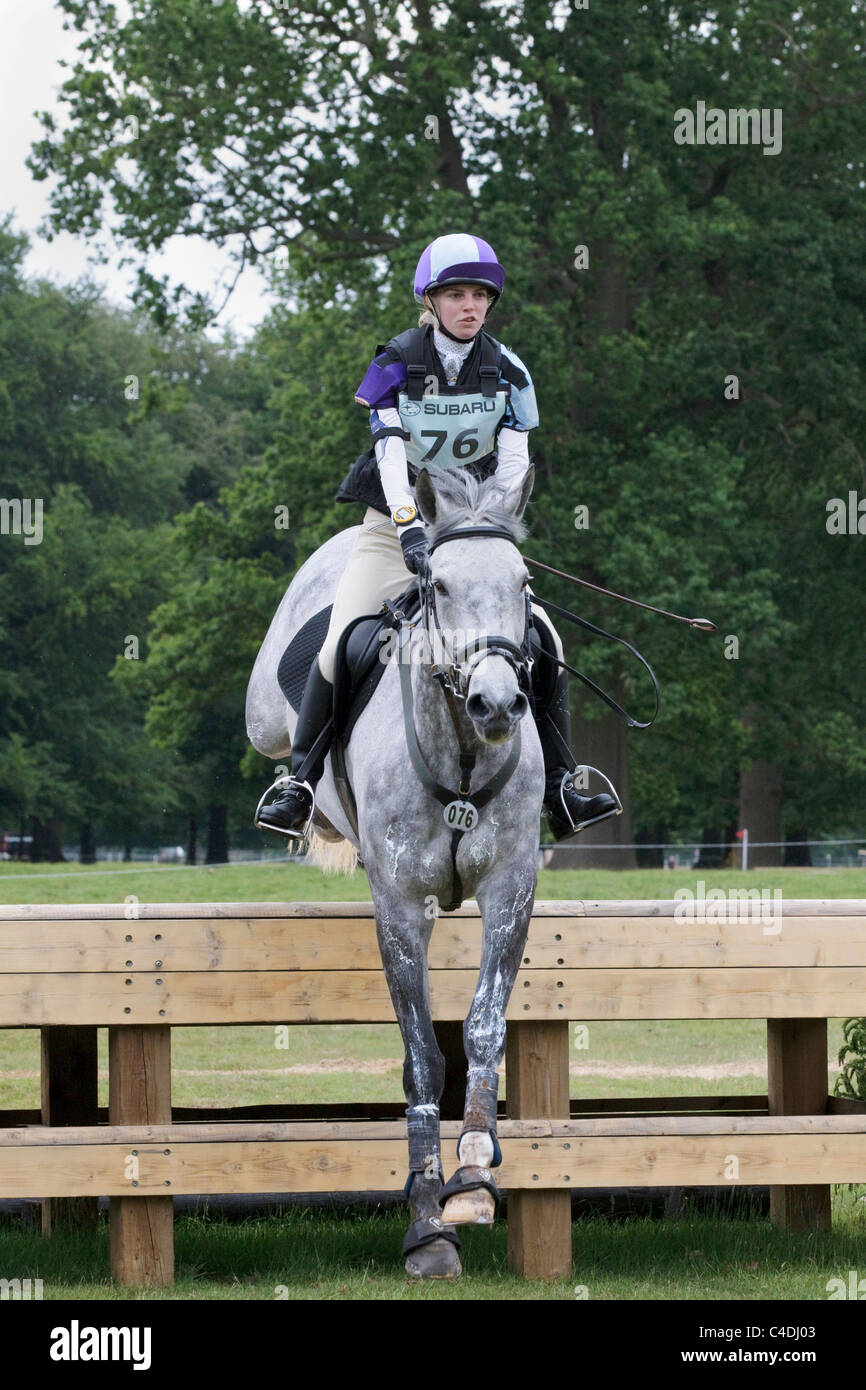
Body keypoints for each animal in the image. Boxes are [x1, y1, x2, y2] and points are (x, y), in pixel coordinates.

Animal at [245, 465, 545, 1278]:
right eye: (437, 584)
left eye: (523, 582)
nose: (498, 702)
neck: (463, 748)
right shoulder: (402, 906)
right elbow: (420, 1058)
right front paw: (427, 1225)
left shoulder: (511, 890)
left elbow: (482, 1029)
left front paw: (472, 1180)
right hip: (266, 709)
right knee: (279, 732)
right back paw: (299, 803)